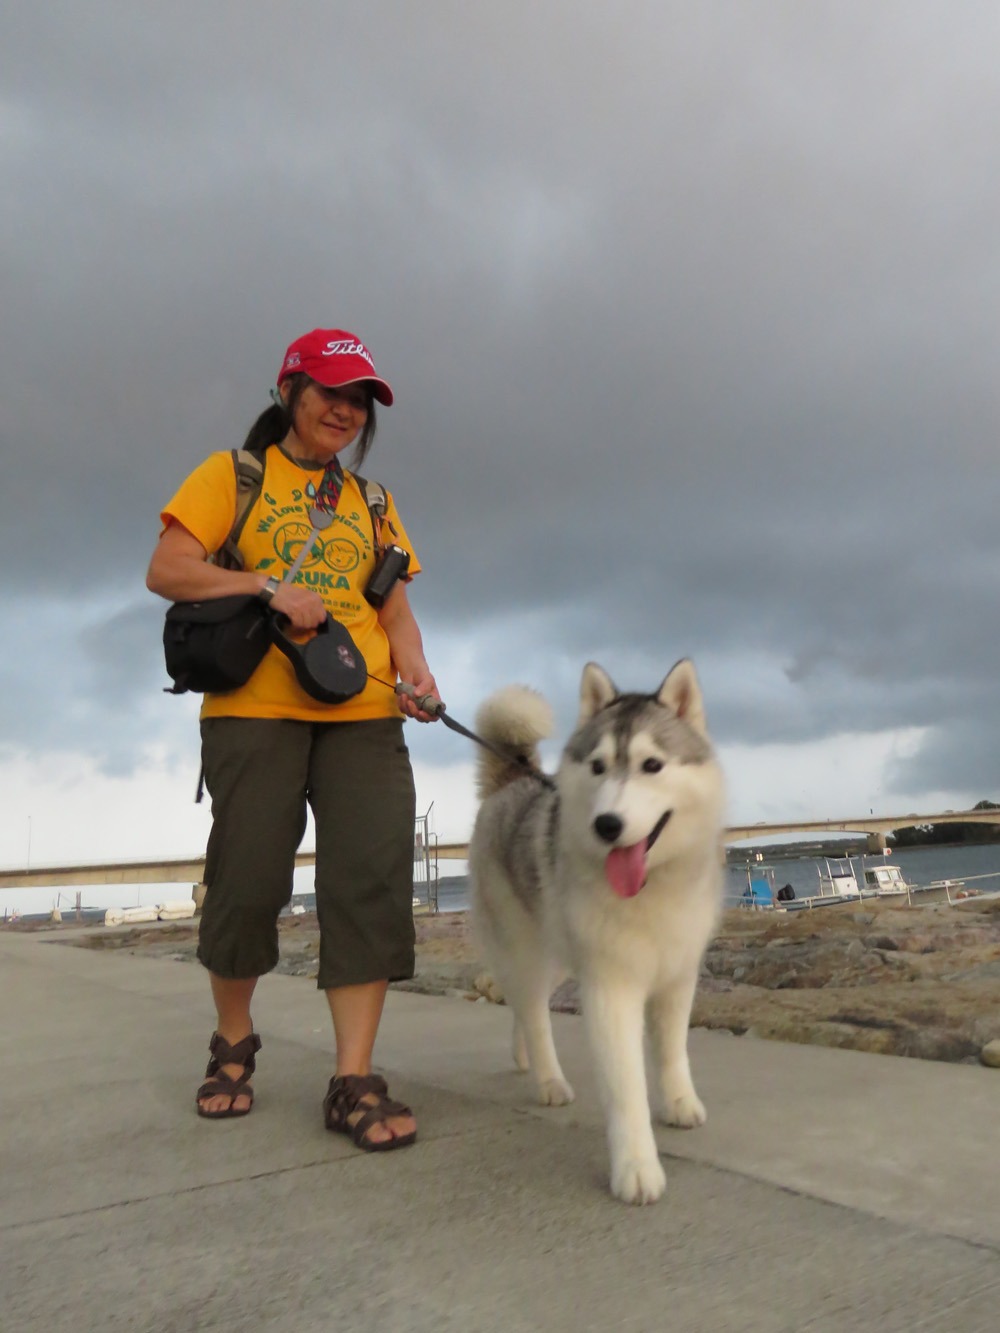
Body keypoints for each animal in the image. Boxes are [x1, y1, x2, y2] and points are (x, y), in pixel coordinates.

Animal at [469, 661, 730, 1205]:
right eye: (597, 766)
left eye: (652, 765)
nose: (607, 824)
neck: (649, 888)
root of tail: (512, 782)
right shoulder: (611, 988)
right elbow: (626, 1086)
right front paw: (636, 1167)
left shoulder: (678, 976)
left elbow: (672, 1051)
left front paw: (679, 1102)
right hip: (527, 952)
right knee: (532, 1011)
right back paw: (548, 1078)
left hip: (560, 957)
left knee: (523, 1007)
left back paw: (523, 1056)